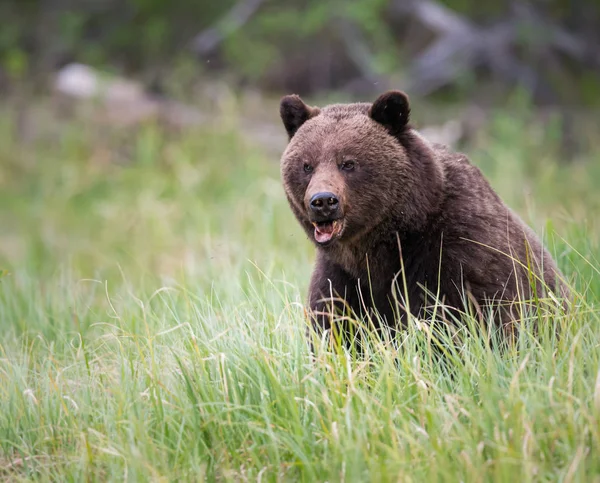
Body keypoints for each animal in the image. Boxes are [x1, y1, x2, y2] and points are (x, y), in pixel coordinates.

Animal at [278, 91, 568, 348]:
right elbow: (336, 328)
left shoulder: (457, 253)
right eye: (307, 165)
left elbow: (465, 322)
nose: (323, 201)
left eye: (348, 163)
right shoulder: (343, 277)